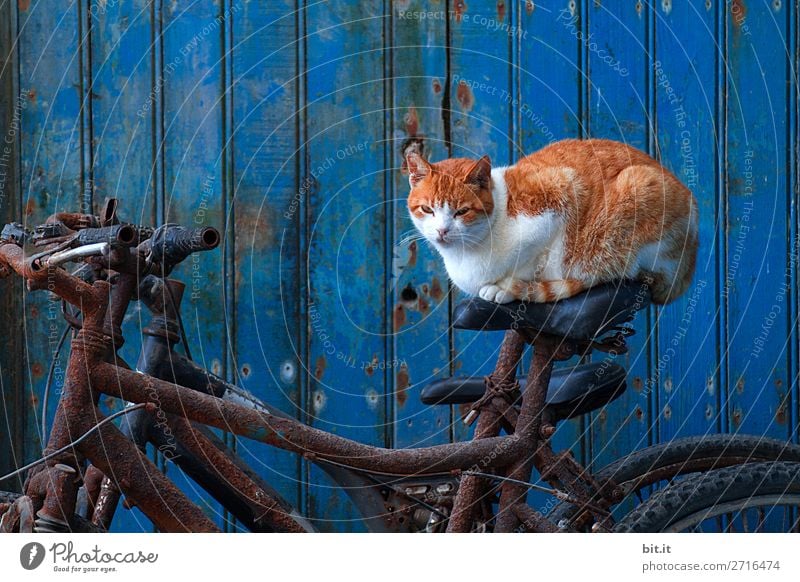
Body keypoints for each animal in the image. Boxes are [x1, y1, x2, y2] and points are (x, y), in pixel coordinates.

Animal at [406, 140, 692, 306]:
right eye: (427, 209)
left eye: (462, 211)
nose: (442, 231)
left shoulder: (561, 191)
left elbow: (543, 258)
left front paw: (508, 287)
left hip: (636, 192)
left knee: (609, 271)